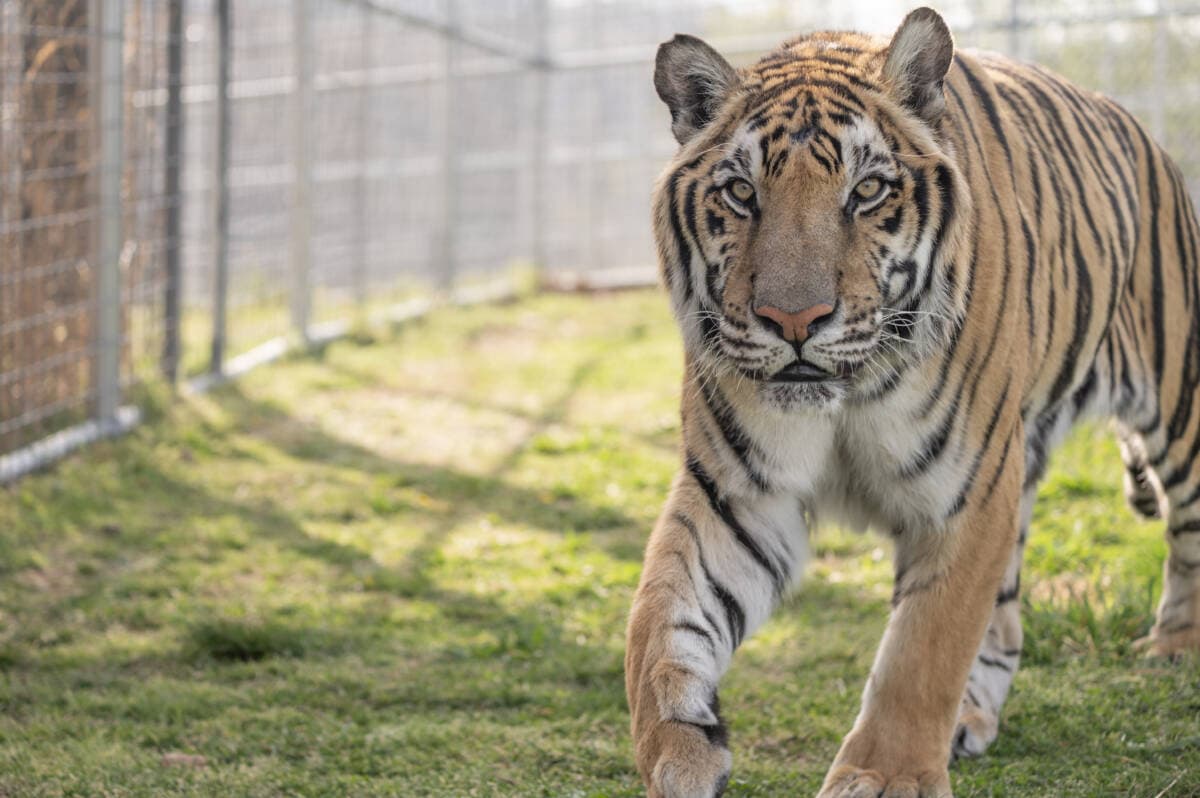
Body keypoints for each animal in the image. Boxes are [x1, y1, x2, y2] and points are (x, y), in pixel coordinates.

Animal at [624, 7, 1200, 797]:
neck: (847, 395)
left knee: (1188, 531)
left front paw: (884, 776)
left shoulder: (967, 493)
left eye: (867, 191)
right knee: (1006, 618)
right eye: (741, 193)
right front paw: (678, 747)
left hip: (1177, 396)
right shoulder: (737, 493)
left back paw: (1175, 645)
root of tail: (1141, 132)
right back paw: (972, 718)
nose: (794, 322)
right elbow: (659, 615)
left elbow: (923, 649)